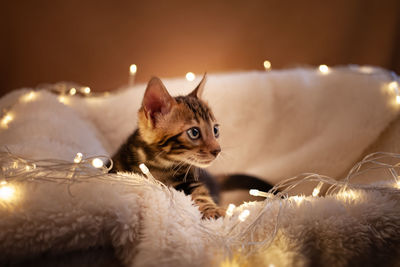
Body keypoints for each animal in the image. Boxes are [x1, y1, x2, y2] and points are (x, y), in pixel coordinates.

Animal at [111, 75, 225, 220]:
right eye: (194, 132)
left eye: (215, 130)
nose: (218, 150)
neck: (160, 165)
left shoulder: (189, 180)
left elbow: (200, 193)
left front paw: (211, 209)